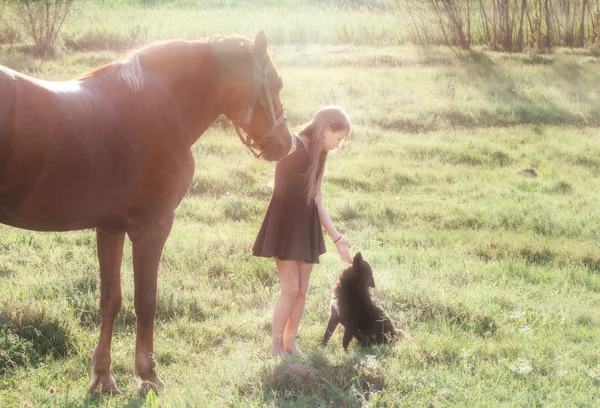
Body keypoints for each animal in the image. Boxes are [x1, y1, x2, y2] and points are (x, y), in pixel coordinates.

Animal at [0, 31, 292, 396]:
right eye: (277, 83)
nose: (287, 143)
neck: (161, 107)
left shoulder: (109, 228)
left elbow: (110, 300)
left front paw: (103, 376)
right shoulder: (152, 228)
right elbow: (146, 301)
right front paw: (148, 374)